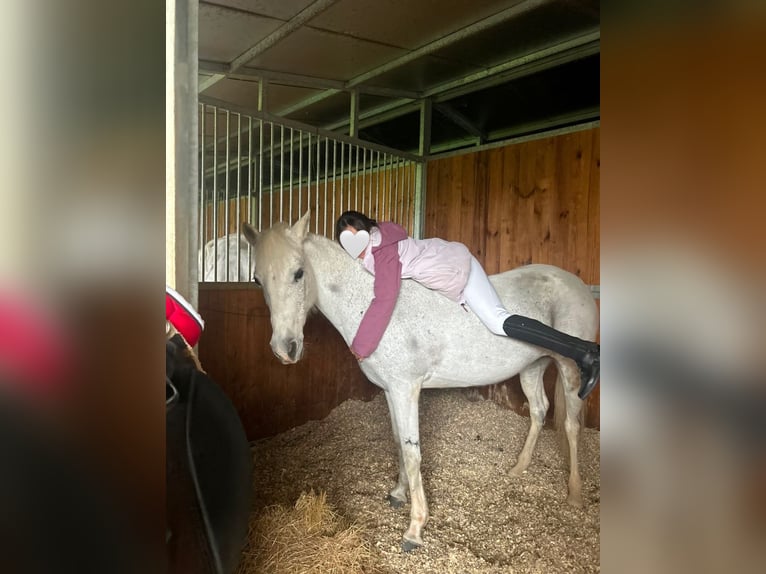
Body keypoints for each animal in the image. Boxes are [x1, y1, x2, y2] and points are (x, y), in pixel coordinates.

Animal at [241, 210, 599, 551]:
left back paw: (575, 493)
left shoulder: (406, 390)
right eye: (258, 280)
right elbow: (399, 443)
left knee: (571, 425)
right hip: (532, 367)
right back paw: (518, 469)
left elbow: (413, 455)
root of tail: (578, 285)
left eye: (298, 273)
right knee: (539, 411)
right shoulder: (391, 392)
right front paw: (398, 494)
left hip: (566, 371)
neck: (372, 306)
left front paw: (414, 530)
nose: (285, 349)